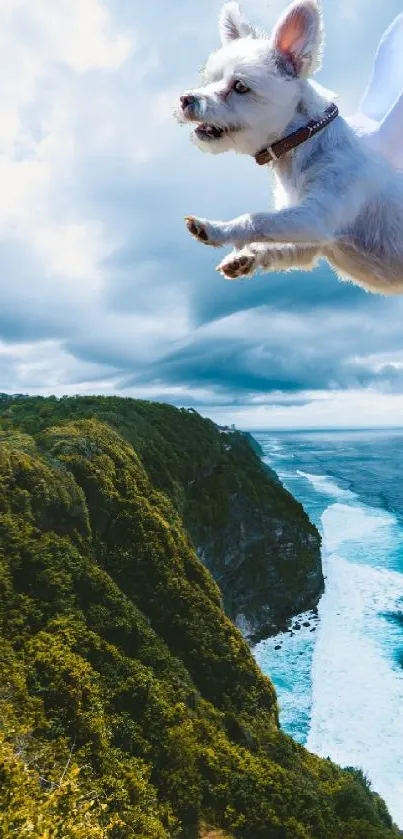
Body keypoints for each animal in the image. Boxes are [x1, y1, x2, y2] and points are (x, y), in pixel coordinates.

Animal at [178, 0, 403, 296]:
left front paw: (215, 229)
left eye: (240, 86)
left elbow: (257, 220)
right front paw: (243, 257)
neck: (305, 141)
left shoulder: (314, 217)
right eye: (210, 80)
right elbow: (273, 243)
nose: (185, 99)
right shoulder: (309, 241)